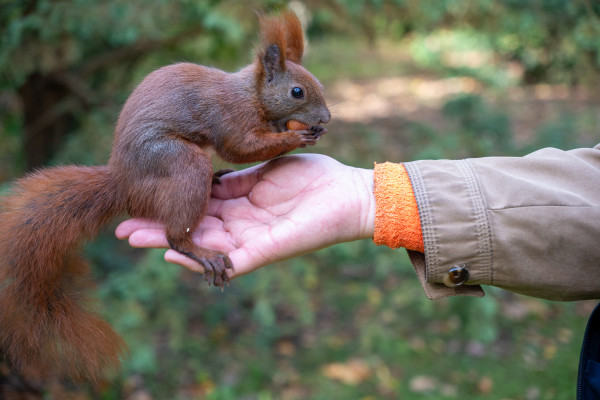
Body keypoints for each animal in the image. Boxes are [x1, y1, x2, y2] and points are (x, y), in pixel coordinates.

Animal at [0, 10, 328, 382]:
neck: (251, 95)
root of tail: (124, 185)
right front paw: (296, 137)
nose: (326, 118)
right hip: (180, 164)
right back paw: (201, 251)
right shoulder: (230, 116)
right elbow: (239, 148)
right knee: (175, 236)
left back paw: (216, 180)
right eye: (297, 92)